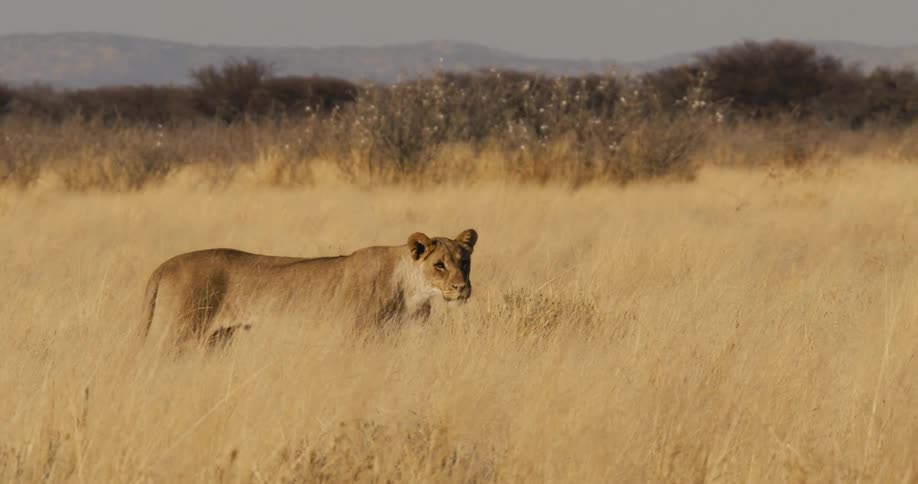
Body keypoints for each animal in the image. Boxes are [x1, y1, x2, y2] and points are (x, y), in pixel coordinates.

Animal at [139, 229, 477, 349]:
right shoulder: (353, 340)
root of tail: (163, 266)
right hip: (178, 335)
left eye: (464, 261)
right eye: (439, 265)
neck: (413, 293)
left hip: (215, 340)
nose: (462, 288)